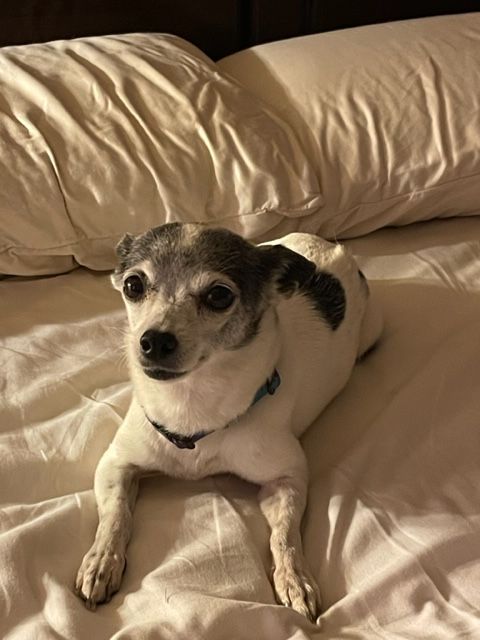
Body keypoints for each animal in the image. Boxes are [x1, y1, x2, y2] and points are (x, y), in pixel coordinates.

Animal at [75, 224, 382, 620]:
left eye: (219, 295)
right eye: (133, 285)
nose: (154, 340)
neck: (191, 405)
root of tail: (327, 245)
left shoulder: (287, 480)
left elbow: (286, 535)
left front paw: (294, 578)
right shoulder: (116, 464)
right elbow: (115, 516)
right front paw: (101, 562)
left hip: (371, 332)